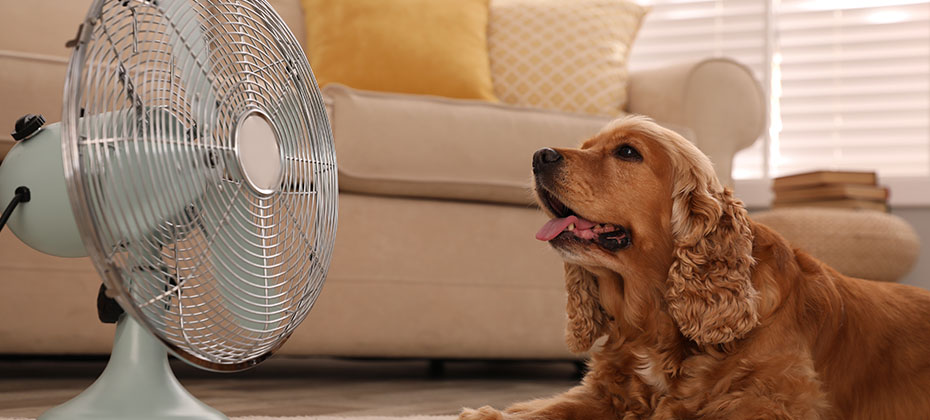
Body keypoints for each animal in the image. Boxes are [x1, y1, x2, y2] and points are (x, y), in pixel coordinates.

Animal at [460, 115, 928, 420]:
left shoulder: (773, 401)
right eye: (588, 145)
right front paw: (494, 412)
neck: (653, 323)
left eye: (627, 152)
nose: (539, 155)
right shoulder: (606, 392)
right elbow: (552, 407)